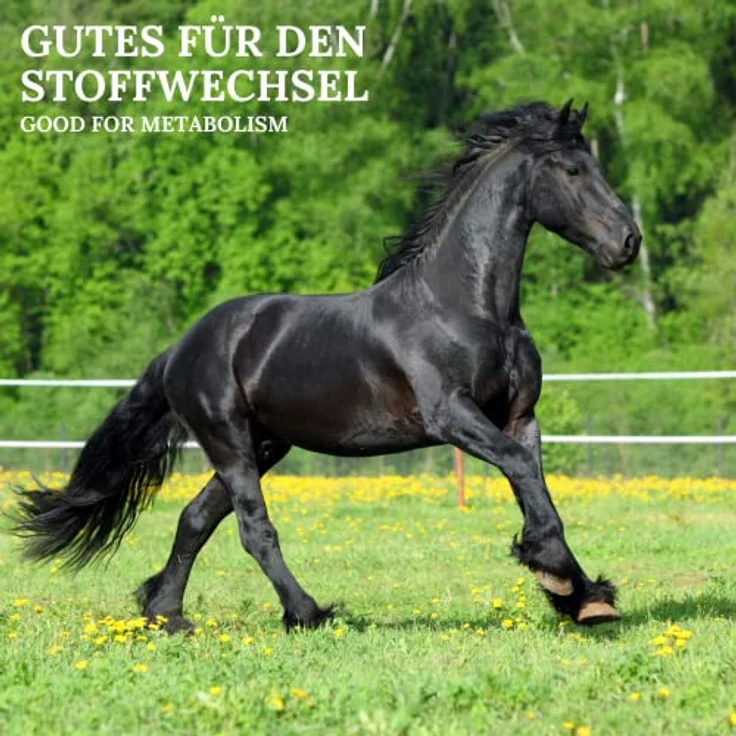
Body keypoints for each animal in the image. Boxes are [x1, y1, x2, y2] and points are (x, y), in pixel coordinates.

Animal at [13, 100, 641, 632]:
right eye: (572, 170)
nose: (628, 242)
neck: (463, 305)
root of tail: (181, 348)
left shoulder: (518, 415)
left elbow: (533, 480)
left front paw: (583, 595)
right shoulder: (452, 415)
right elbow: (520, 471)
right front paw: (554, 572)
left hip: (264, 444)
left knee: (195, 517)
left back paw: (166, 613)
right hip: (229, 442)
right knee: (253, 529)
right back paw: (306, 612)